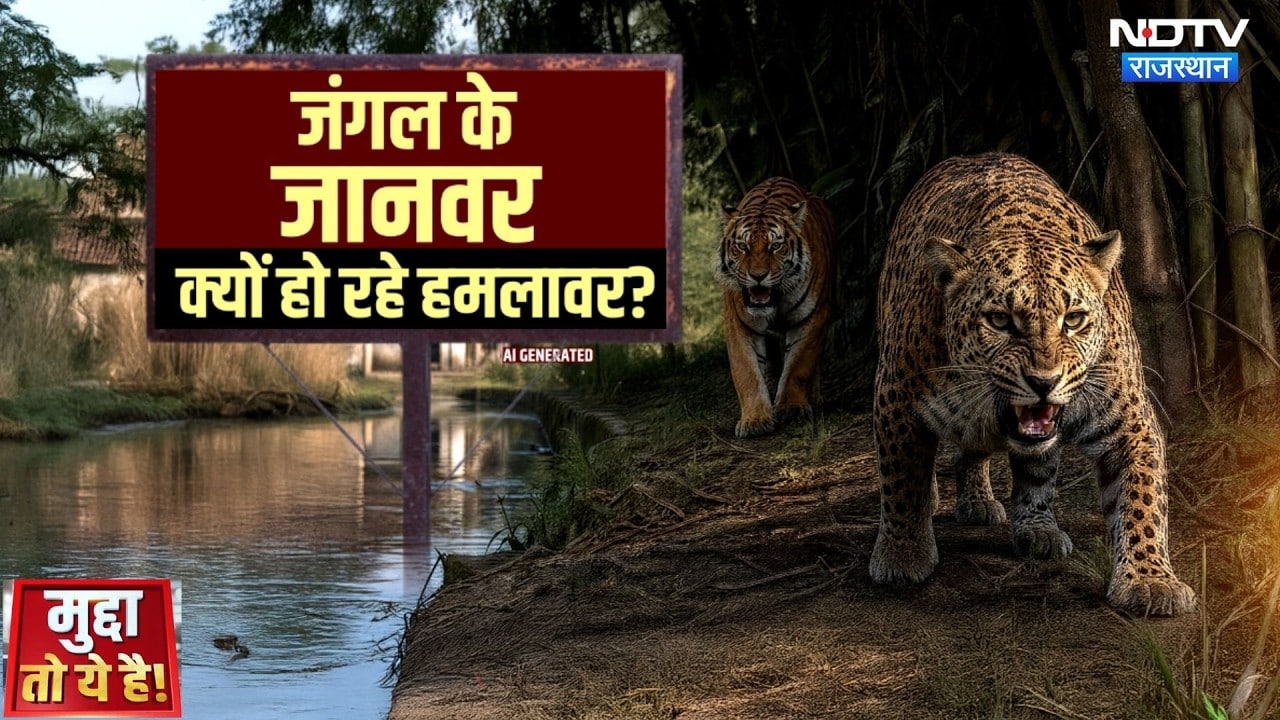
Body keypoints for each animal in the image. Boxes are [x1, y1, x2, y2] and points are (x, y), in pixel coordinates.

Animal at [869, 152, 1196, 616]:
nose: (1045, 381)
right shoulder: (896, 393)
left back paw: (1025, 521)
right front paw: (902, 554)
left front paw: (1150, 579)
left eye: (1073, 319)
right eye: (999, 321)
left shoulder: (1129, 422)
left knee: (1013, 460)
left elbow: (1142, 498)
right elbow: (901, 476)